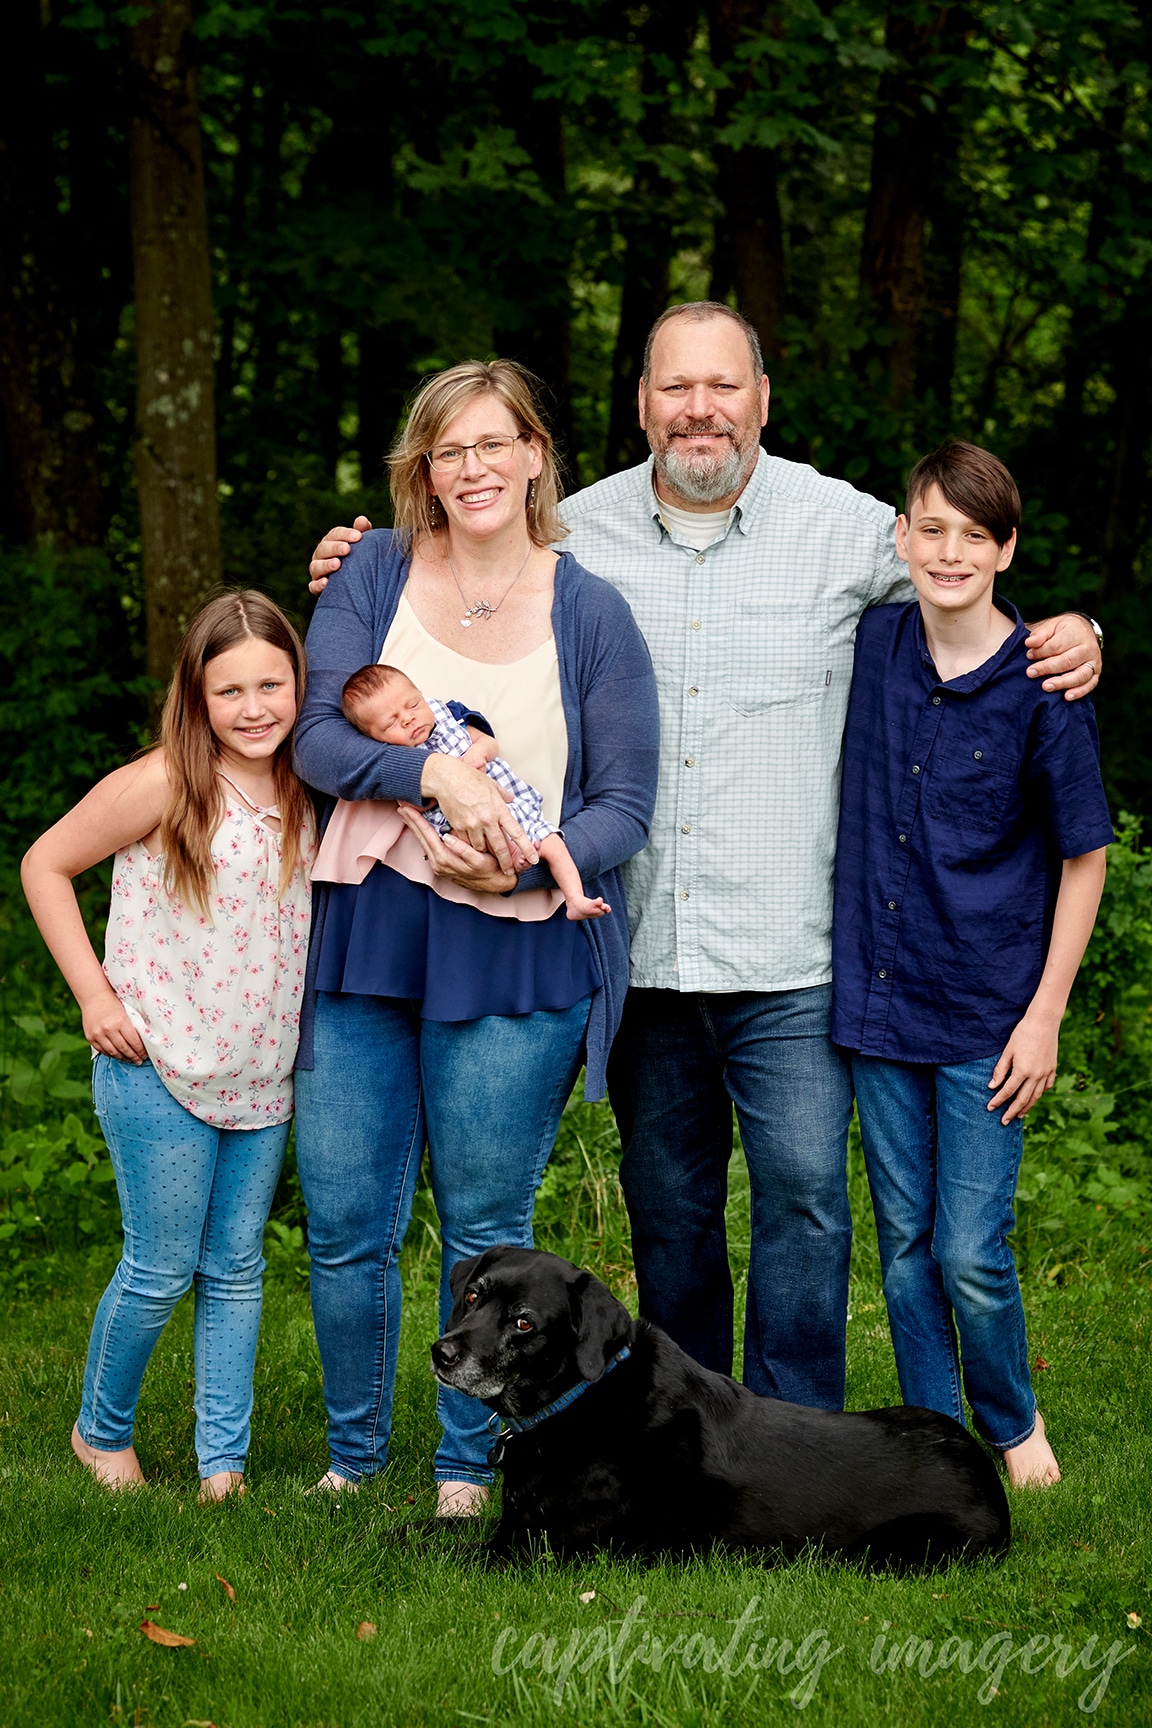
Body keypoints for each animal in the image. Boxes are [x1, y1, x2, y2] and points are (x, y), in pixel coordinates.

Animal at [431, 1244, 1008, 1569]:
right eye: (474, 1296)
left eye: (524, 1322)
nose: (442, 1353)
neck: (579, 1398)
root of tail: (990, 1481)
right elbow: (436, 1529)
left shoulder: (530, 1549)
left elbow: (428, 1549)